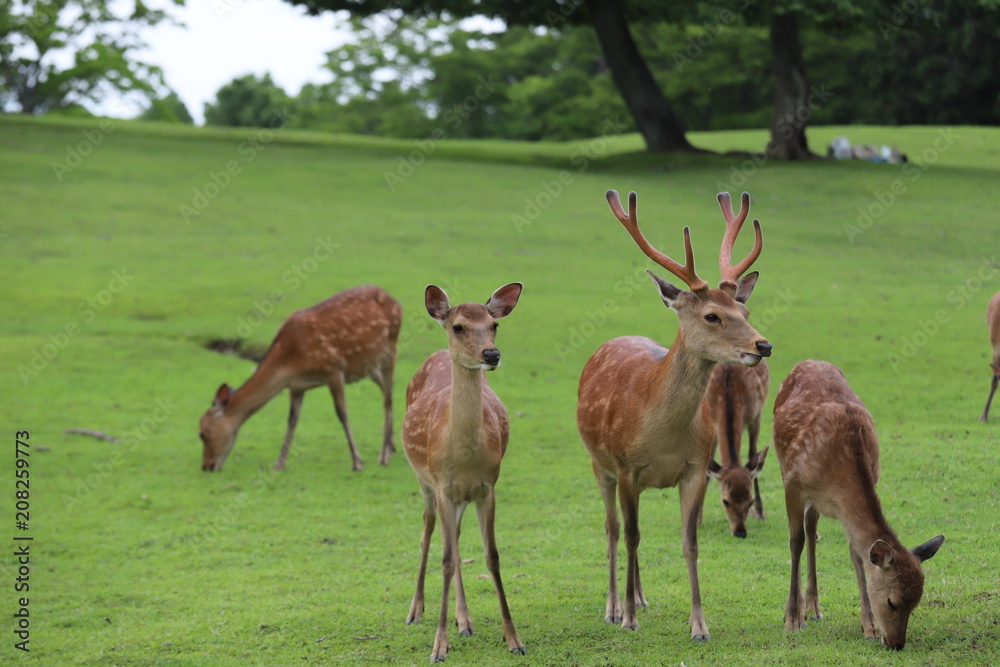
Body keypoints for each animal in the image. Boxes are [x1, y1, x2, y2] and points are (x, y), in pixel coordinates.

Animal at [199, 284, 402, 472]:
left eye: (202, 433)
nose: (206, 466)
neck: (291, 359)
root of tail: (396, 301)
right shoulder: (296, 386)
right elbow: (292, 419)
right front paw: (279, 464)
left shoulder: (333, 369)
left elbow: (342, 413)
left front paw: (357, 462)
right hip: (368, 366)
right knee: (387, 389)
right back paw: (392, 447)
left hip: (391, 348)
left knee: (388, 396)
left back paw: (384, 455)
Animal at [400, 282, 528, 664]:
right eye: (458, 326)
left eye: (494, 324)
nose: (491, 354)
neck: (465, 457)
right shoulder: (443, 485)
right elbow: (444, 558)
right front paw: (438, 647)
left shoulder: (488, 486)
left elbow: (492, 556)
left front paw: (514, 638)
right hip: (424, 481)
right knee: (429, 531)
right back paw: (415, 611)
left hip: (459, 498)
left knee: (454, 537)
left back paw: (464, 621)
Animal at [704, 360, 772, 536]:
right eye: (725, 501)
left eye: (750, 501)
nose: (740, 531)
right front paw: (697, 519)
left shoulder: (756, 415)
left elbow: (752, 455)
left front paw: (760, 512)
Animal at [772, 360, 944, 652]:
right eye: (892, 602)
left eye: (916, 604)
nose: (896, 643)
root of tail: (809, 361)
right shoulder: (793, 483)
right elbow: (795, 542)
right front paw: (792, 619)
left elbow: (857, 554)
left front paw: (870, 627)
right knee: (804, 535)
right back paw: (803, 612)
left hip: (815, 501)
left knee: (811, 528)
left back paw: (814, 607)